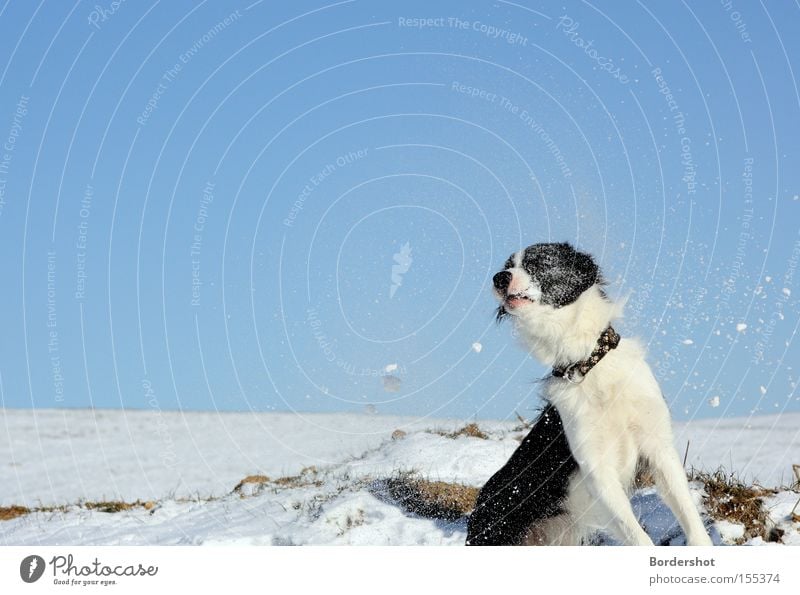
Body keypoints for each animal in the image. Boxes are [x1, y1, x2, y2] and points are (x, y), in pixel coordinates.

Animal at [466, 242, 716, 544]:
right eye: (507, 265)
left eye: (539, 262)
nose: (499, 278)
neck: (586, 365)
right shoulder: (597, 469)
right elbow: (636, 535)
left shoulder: (659, 448)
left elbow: (689, 516)